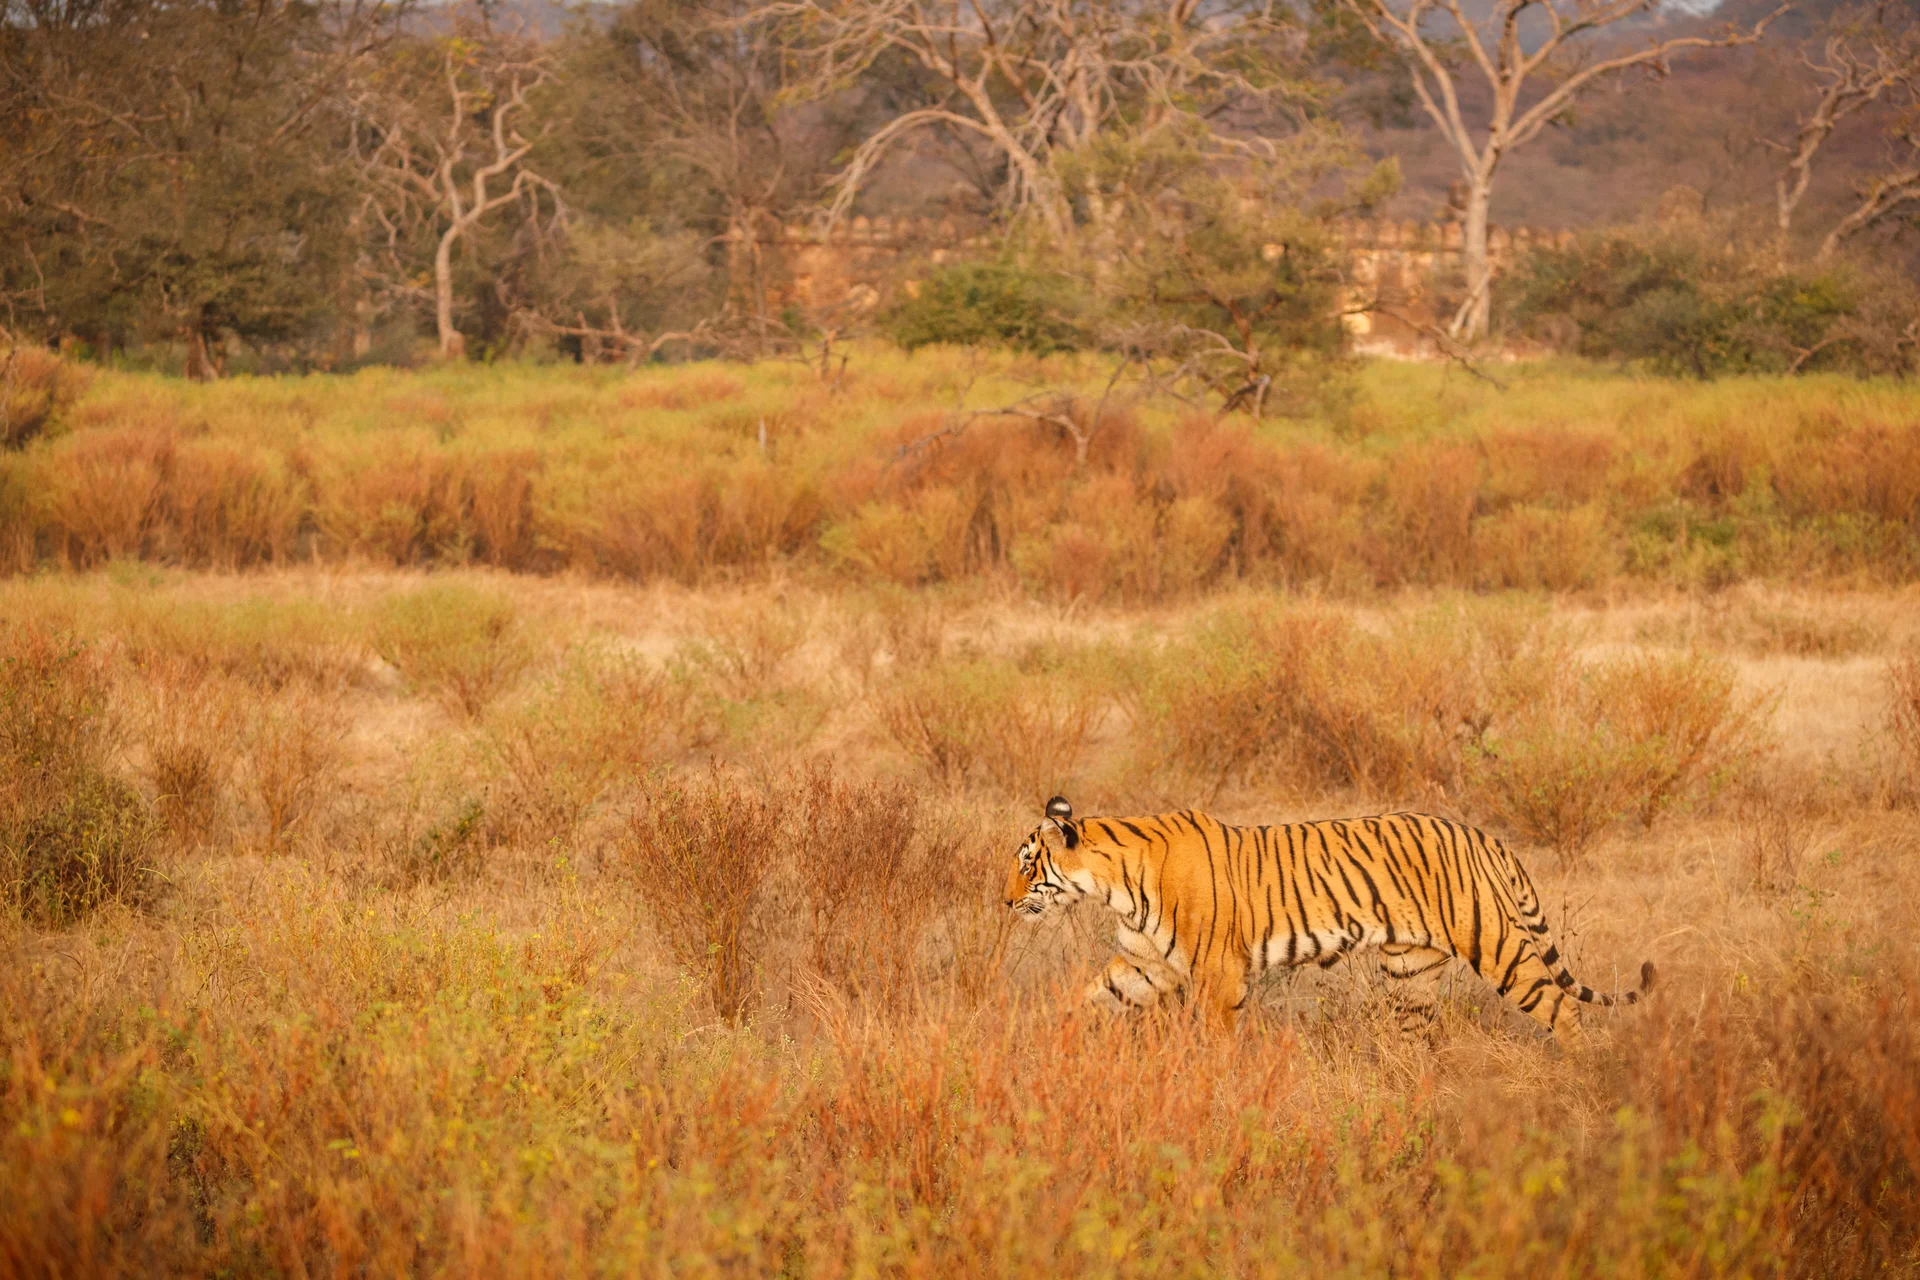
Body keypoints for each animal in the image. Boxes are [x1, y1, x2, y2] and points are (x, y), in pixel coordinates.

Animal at [1004, 796, 1653, 1040]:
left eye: (1027, 864)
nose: (1004, 902)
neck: (1113, 885)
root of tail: (1483, 836)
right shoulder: (1143, 963)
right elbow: (1085, 997)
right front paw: (1031, 1036)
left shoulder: (1218, 973)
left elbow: (1217, 1037)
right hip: (1411, 971)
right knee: (1417, 1033)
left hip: (1498, 947)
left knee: (1565, 1010)